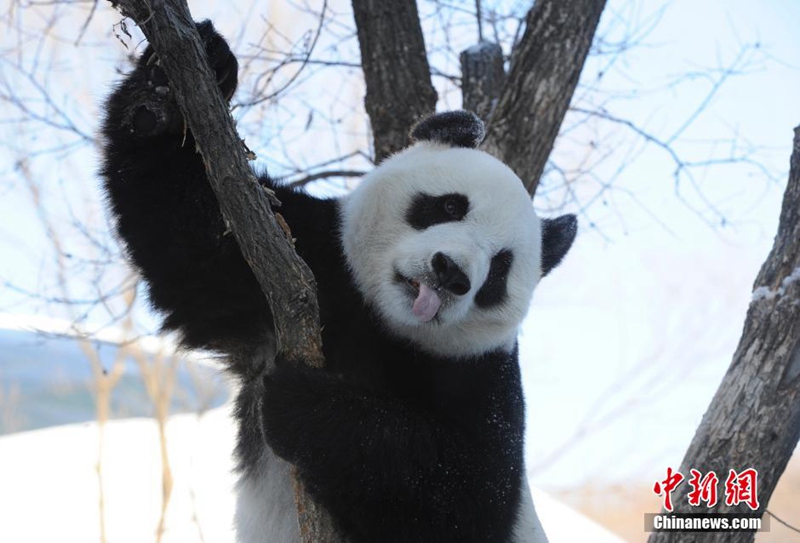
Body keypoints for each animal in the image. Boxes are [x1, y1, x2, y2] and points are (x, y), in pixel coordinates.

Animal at [101, 21, 576, 543]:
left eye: (499, 269)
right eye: (450, 205)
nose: (451, 273)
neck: (381, 323)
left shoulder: (481, 380)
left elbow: (461, 497)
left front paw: (303, 404)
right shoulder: (305, 261)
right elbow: (186, 241)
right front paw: (173, 83)